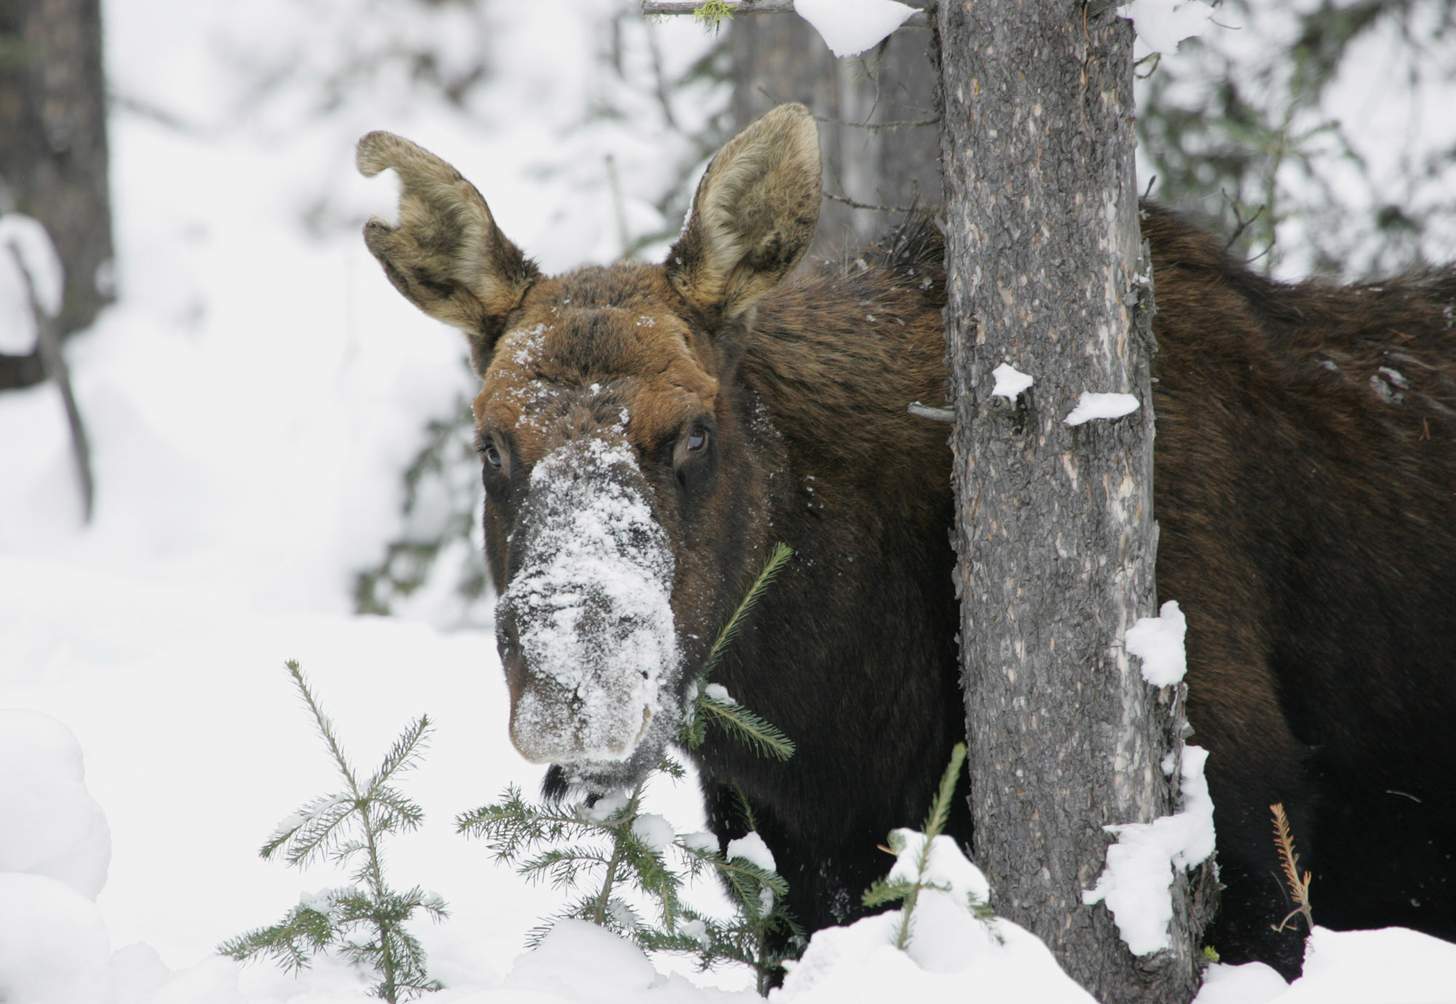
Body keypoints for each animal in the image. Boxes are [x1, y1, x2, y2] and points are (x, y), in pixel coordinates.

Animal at [356, 104, 1456, 976]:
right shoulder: (801, 867)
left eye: (696, 430)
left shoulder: (1256, 831)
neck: (840, 716)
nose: (574, 687)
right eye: (490, 442)